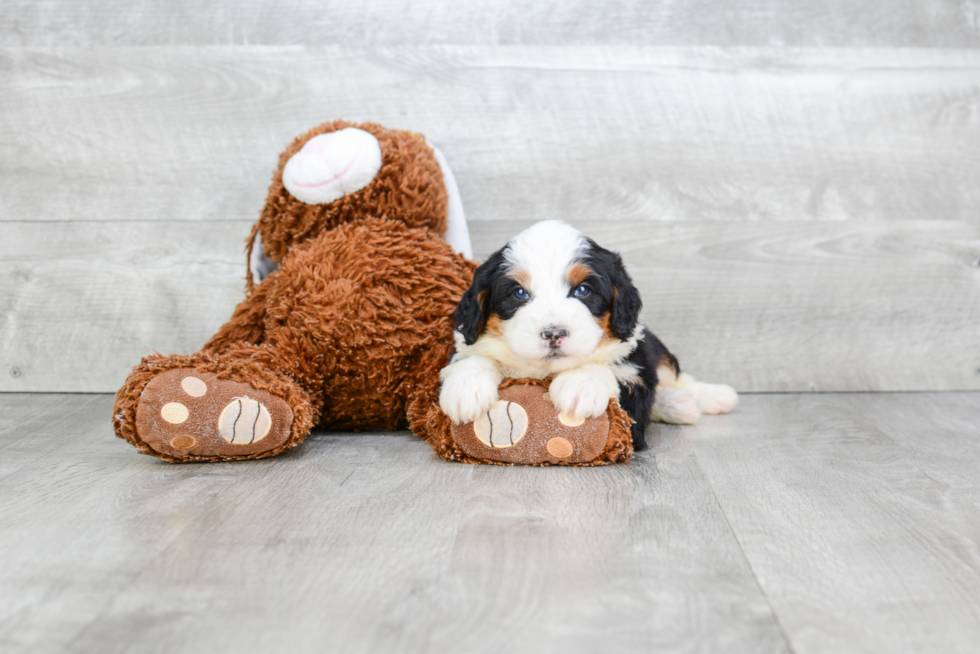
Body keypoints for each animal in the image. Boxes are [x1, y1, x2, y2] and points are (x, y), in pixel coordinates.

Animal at [440, 220, 740, 452]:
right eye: (519, 293)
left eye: (582, 290)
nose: (554, 334)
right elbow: (474, 356)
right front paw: (466, 389)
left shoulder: (635, 378)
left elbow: (610, 370)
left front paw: (580, 385)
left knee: (676, 377)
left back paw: (711, 397)